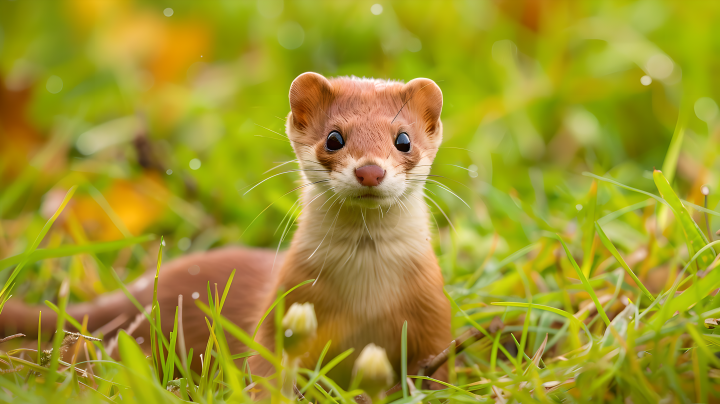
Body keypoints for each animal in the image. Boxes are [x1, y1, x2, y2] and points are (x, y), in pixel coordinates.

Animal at [0, 72, 450, 388]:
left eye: (404, 139)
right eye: (334, 138)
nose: (370, 170)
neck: (365, 295)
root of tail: (136, 290)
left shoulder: (432, 314)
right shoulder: (283, 304)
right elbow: (264, 368)